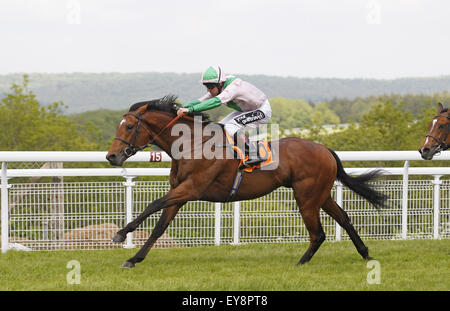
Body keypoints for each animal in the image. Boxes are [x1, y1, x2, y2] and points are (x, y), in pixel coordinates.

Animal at [105, 95, 386, 268]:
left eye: (128, 127)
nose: (111, 156)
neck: (191, 145)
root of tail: (325, 149)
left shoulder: (191, 189)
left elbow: (152, 205)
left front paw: (120, 234)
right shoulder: (180, 192)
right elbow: (159, 227)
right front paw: (134, 258)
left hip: (306, 196)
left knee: (318, 233)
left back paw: (300, 263)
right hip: (321, 194)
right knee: (344, 218)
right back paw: (365, 253)